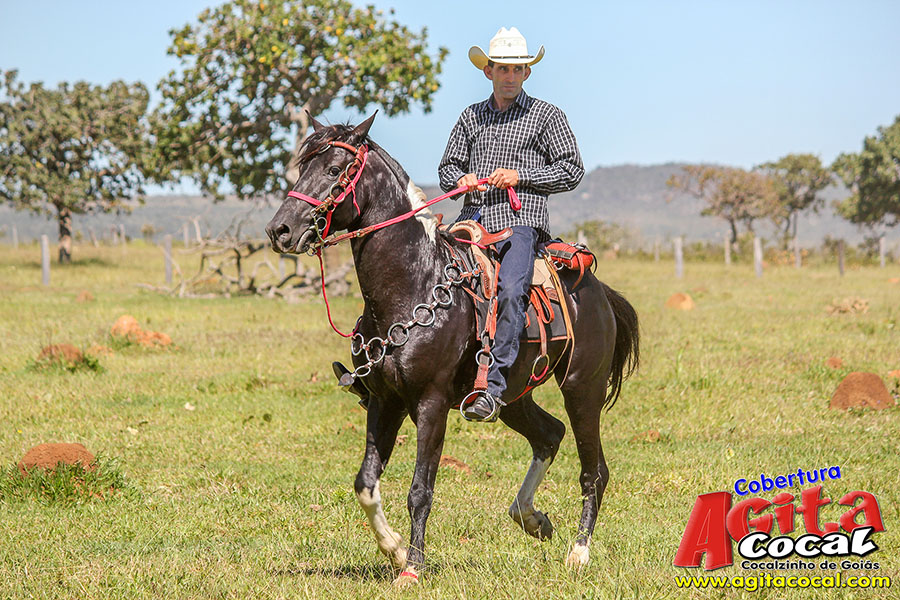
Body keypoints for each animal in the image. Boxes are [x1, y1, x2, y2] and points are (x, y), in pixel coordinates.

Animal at [266, 114, 639, 587]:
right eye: (302, 168)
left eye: (335, 169)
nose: (279, 230)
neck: (413, 284)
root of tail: (598, 290)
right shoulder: (384, 401)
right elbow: (365, 483)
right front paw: (394, 550)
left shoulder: (431, 403)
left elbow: (420, 490)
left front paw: (412, 568)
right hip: (508, 397)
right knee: (549, 434)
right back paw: (532, 519)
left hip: (581, 389)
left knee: (594, 470)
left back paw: (579, 553)